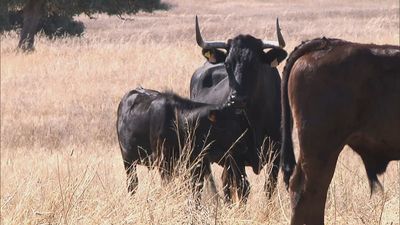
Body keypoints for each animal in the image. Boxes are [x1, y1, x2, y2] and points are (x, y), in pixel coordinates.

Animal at [190, 16, 288, 200]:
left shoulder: (277, 153)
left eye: (255, 64)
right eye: (228, 64)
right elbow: (243, 189)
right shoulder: (235, 155)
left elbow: (269, 188)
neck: (256, 118)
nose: (237, 99)